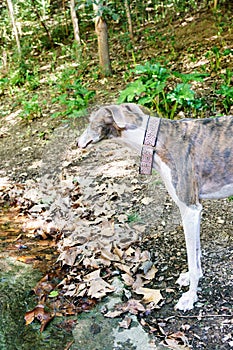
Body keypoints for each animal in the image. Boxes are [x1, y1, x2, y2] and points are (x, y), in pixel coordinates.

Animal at [78, 102, 233, 310]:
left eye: (90, 122)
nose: (77, 143)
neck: (157, 140)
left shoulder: (189, 208)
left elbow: (192, 259)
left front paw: (190, 297)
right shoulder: (195, 209)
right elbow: (197, 252)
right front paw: (192, 278)